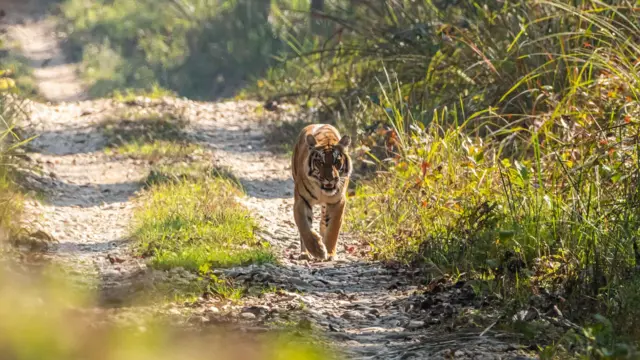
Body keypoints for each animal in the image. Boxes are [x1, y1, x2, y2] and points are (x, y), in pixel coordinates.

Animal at [292, 125, 352, 260]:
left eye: (337, 162)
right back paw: (305, 254)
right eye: (320, 163)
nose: (330, 178)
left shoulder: (337, 202)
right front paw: (317, 250)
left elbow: (333, 229)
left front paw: (329, 252)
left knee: (323, 222)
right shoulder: (301, 201)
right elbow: (305, 227)